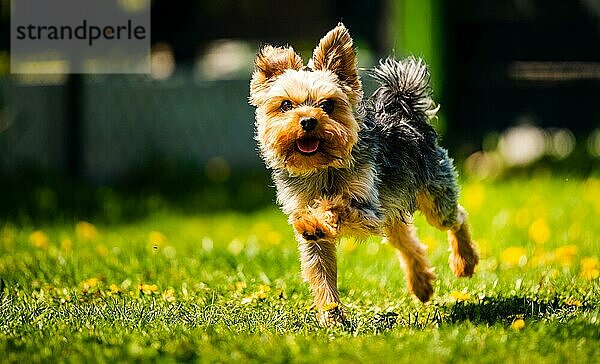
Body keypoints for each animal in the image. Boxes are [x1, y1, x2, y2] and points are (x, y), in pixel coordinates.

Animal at [248, 22, 478, 324]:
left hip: (433, 192)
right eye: (286, 105)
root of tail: (403, 107)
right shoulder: (314, 230)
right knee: (406, 240)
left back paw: (464, 262)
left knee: (456, 216)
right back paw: (421, 284)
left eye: (328, 105)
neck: (322, 168)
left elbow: (336, 205)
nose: (308, 121)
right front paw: (332, 318)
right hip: (393, 209)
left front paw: (314, 220)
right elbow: (321, 274)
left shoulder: (367, 209)